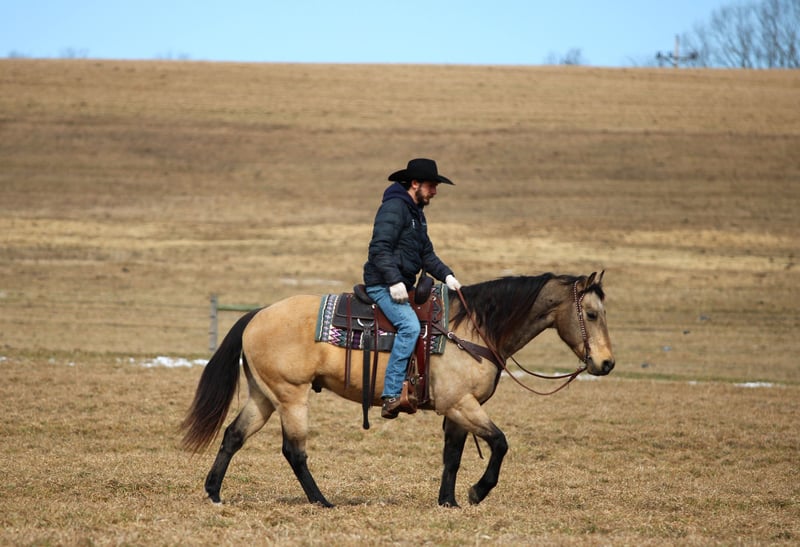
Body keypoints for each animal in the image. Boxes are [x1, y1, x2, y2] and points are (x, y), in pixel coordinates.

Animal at [180, 271, 614, 508]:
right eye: (592, 314)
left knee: (233, 436)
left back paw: (214, 492)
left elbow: (452, 457)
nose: (606, 364)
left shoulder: (457, 410)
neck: (471, 330)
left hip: (264, 396)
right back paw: (322, 501)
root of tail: (257, 315)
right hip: (291, 396)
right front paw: (477, 492)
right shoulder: (462, 404)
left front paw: (448, 501)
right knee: (294, 451)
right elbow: (500, 442)